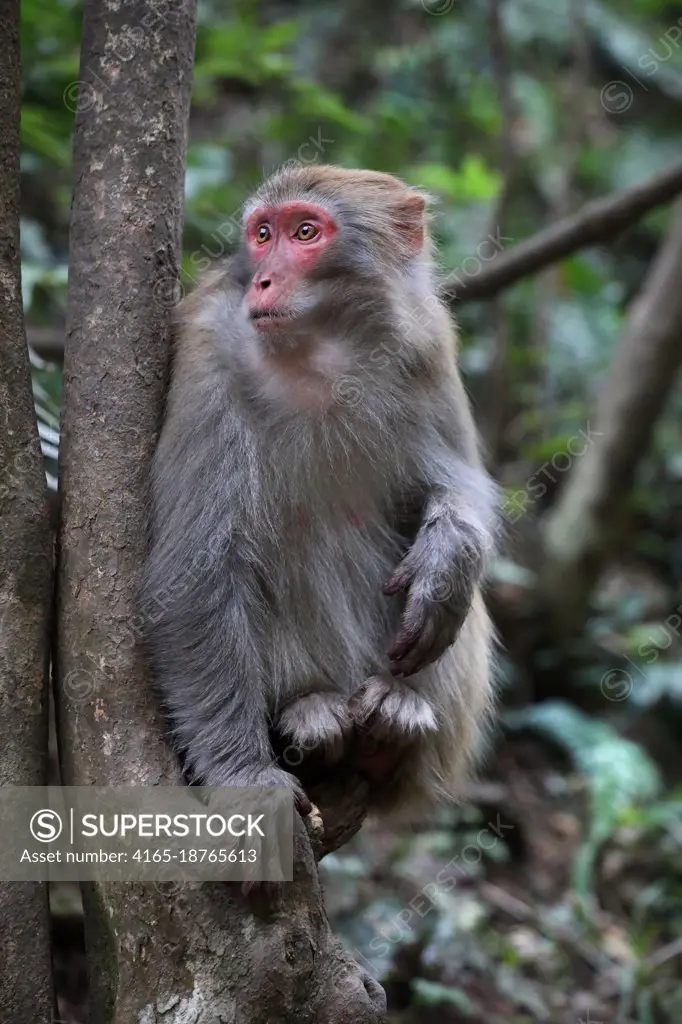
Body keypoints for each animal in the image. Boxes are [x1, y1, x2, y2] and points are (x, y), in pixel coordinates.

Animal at [140, 165, 497, 823]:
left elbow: (458, 482)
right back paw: (307, 717)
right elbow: (192, 570)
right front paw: (243, 776)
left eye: (305, 232)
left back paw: (397, 721)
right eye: (262, 234)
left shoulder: (426, 341)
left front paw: (449, 559)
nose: (263, 279)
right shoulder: (206, 349)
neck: (321, 352)